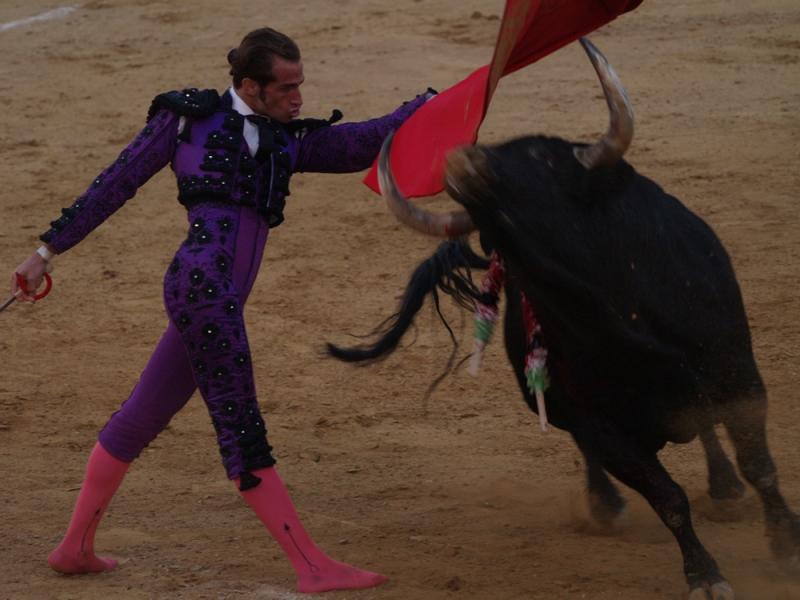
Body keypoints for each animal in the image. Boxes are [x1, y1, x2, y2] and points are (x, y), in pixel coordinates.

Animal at [328, 38, 800, 600]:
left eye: (538, 156)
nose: (461, 157)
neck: (608, 308)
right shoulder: (600, 425)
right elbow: (667, 496)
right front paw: (705, 575)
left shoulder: (738, 375)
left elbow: (761, 466)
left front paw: (785, 547)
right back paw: (604, 506)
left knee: (711, 434)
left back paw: (725, 489)